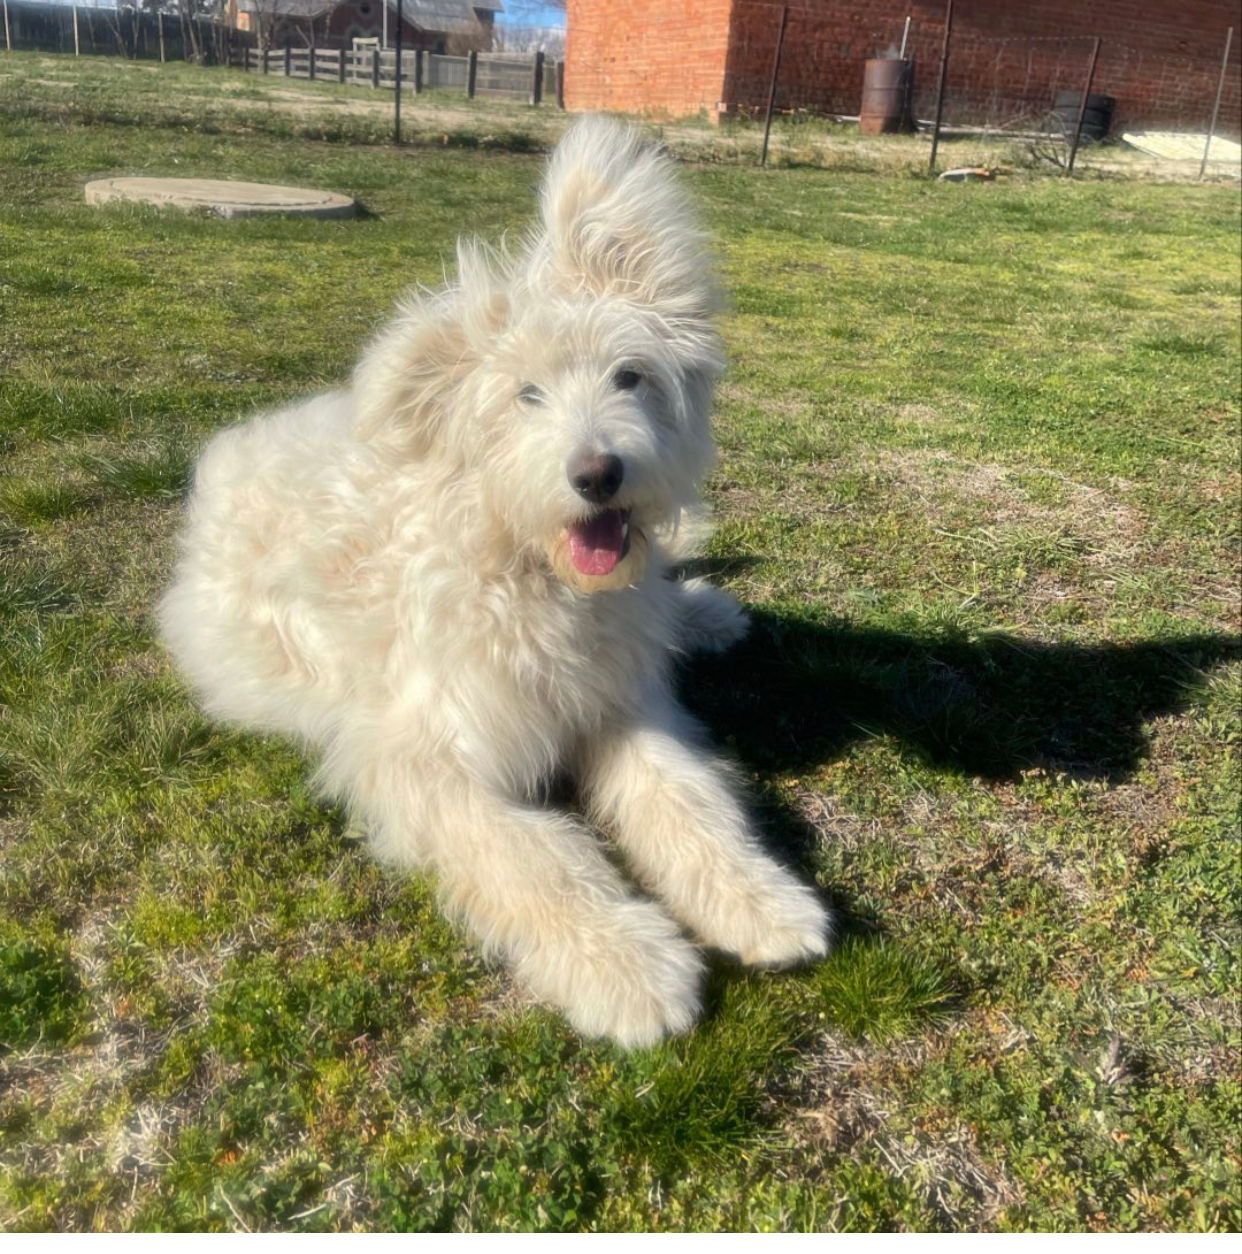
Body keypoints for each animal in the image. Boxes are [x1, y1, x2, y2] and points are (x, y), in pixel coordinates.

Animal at [160, 117, 833, 1043]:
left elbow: (688, 800)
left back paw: (703, 615)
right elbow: (533, 856)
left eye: (629, 375)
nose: (599, 474)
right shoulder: (422, 761)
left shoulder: (619, 704)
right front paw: (628, 967)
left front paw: (760, 901)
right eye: (526, 395)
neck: (520, 567)